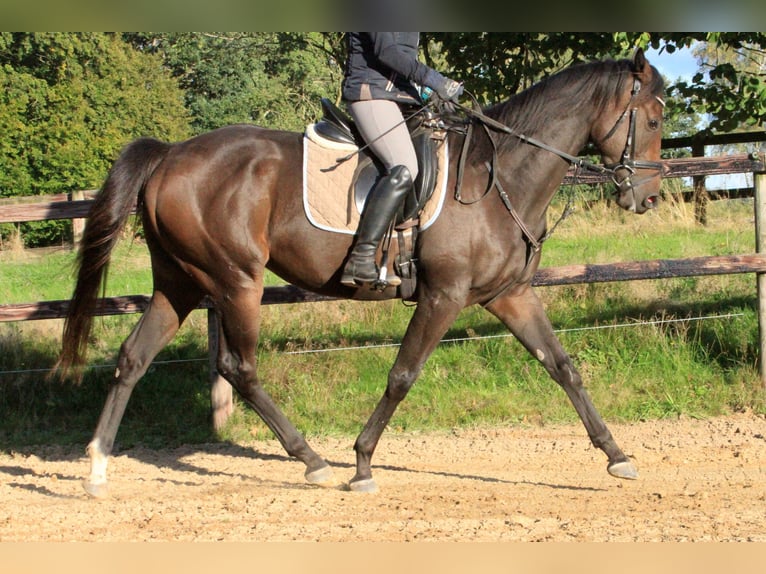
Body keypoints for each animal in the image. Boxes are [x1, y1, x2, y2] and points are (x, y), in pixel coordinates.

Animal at [54, 50, 664, 500]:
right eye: (654, 119)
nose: (648, 198)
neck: (498, 176)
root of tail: (170, 154)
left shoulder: (510, 295)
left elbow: (563, 367)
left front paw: (617, 456)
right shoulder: (443, 297)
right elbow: (402, 376)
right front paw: (363, 464)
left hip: (179, 283)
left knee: (134, 357)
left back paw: (98, 470)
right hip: (236, 281)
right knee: (239, 368)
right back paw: (313, 461)